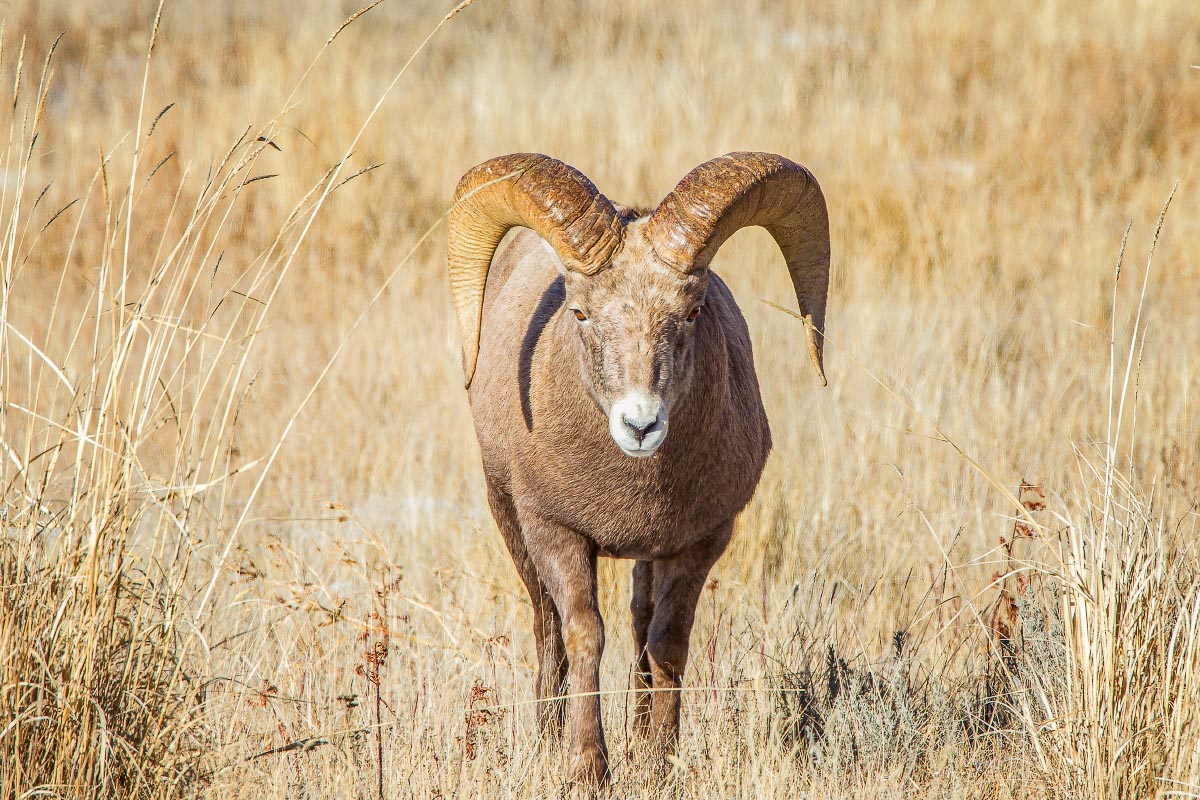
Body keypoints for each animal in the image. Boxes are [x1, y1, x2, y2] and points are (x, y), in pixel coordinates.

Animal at [446, 153, 830, 786]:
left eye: (692, 311)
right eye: (579, 311)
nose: (641, 425)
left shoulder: (698, 541)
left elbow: (666, 642)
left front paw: (657, 761)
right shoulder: (556, 533)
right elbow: (583, 634)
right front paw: (586, 766)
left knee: (639, 625)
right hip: (510, 521)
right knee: (546, 625)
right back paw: (547, 735)